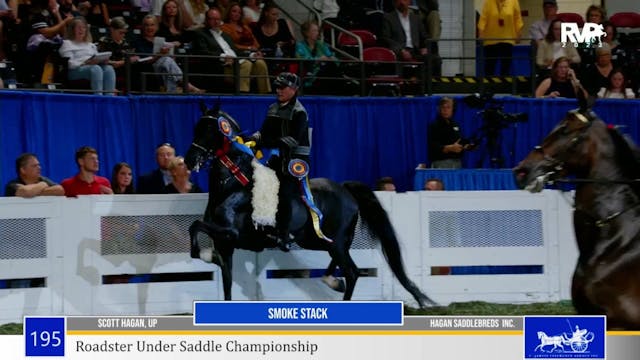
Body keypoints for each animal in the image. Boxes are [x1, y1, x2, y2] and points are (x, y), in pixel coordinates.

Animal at [185, 105, 436, 308]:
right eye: (196, 127)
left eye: (210, 129)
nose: (189, 160)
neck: (234, 183)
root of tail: (345, 189)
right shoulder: (225, 245)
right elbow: (225, 283)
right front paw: (209, 257)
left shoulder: (232, 233)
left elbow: (195, 225)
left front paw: (206, 256)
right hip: (318, 240)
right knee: (343, 266)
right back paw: (332, 281)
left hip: (333, 242)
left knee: (352, 272)